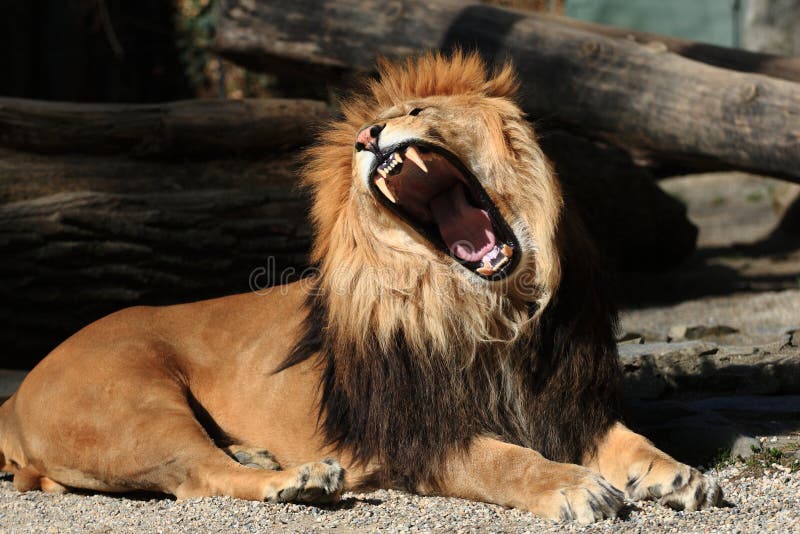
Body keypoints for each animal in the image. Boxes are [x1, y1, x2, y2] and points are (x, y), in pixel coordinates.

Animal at [0, 52, 720, 524]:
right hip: (135, 407)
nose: (370, 135)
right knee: (196, 476)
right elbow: (505, 460)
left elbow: (628, 439)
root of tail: (17, 391)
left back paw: (259, 455)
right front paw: (576, 486)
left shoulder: (568, 403)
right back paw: (300, 481)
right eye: (359, 142)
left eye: (417, 110)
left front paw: (679, 475)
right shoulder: (420, 437)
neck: (492, 313)